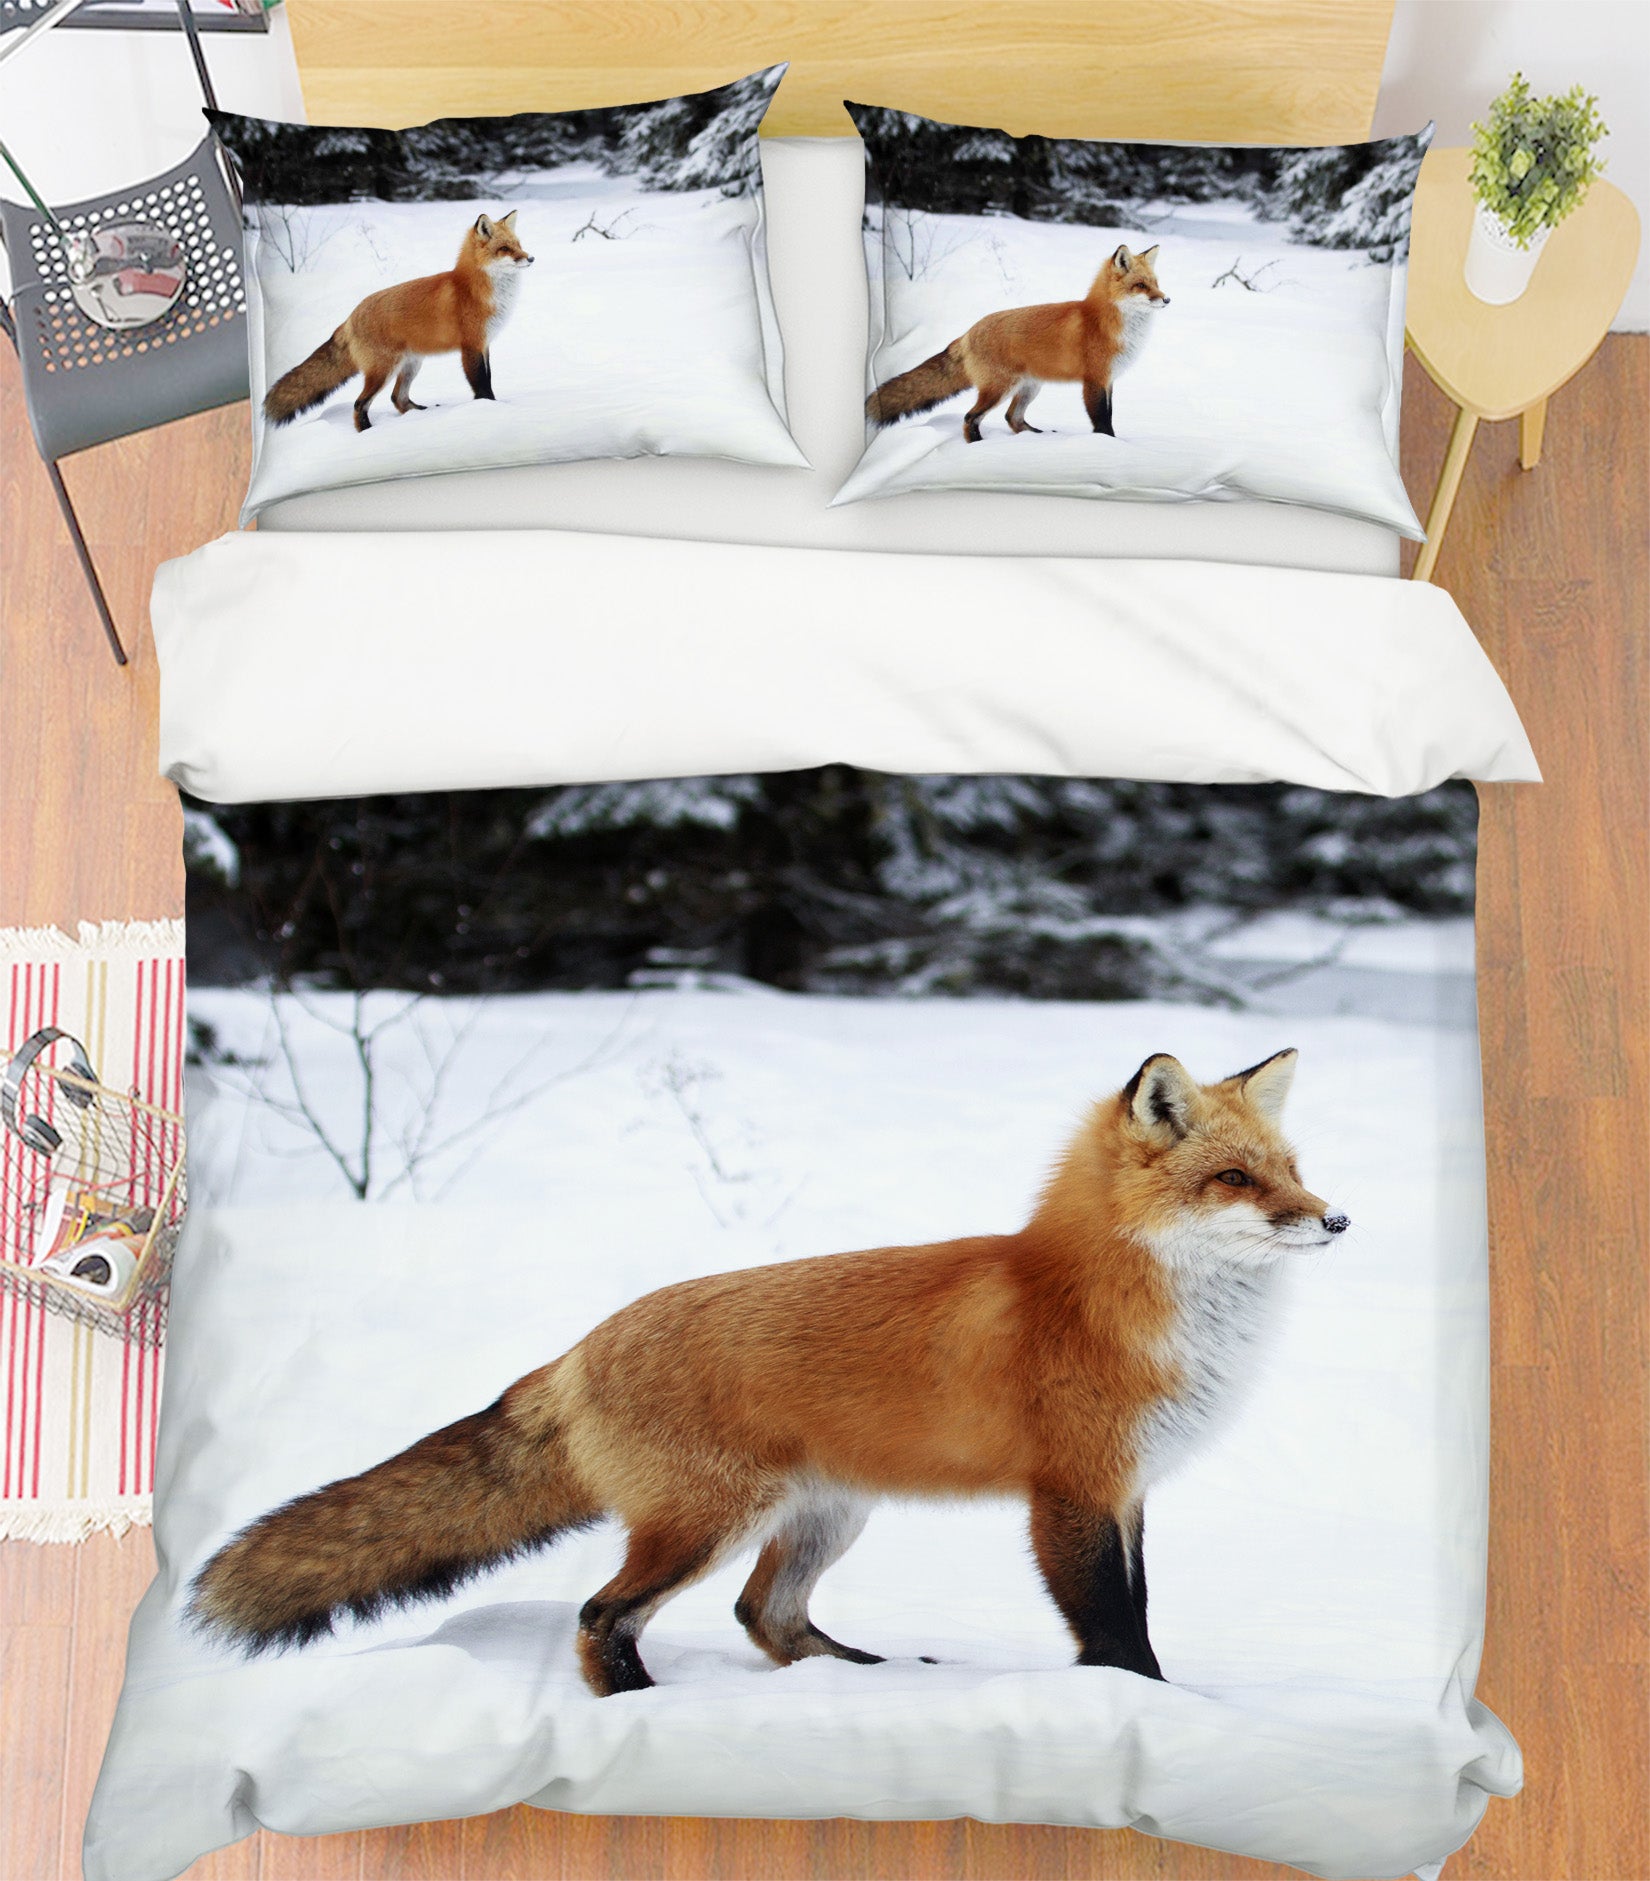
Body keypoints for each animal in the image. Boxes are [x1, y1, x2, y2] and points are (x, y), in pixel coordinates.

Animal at [190, 1048, 1347, 1697]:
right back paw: (638, 1707)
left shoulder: (1130, 1491)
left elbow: (1138, 1609)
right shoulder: (1071, 1490)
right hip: (709, 1522)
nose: (1336, 1220)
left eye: (1292, 1172)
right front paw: (1151, 1718)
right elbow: (1113, 1626)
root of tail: (578, 1349)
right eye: (1234, 1180)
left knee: (763, 1616)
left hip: (825, 1515)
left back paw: (861, 1684)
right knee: (602, 1614)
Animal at [262, 211, 534, 434]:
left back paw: (422, 415)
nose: (531, 258)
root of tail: (349, 318)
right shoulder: (471, 346)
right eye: (505, 248)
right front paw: (490, 411)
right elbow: (481, 384)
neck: (475, 289)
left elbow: (488, 379)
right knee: (360, 403)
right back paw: (367, 432)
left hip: (411, 364)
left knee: (397, 398)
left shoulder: (484, 345)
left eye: (518, 245)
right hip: (383, 370)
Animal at [868, 243, 1169, 443]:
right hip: (1000, 388)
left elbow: (1108, 414)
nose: (1167, 300)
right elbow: (1102, 419)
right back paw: (978, 445)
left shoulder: (1109, 380)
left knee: (1011, 417)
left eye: (1156, 283)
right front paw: (1109, 446)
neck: (1106, 321)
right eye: (1141, 286)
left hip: (1029, 387)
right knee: (970, 417)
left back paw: (1035, 439)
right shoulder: (1095, 379)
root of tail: (967, 333)